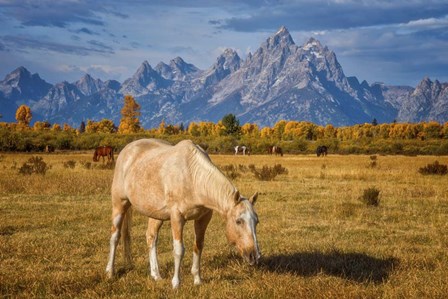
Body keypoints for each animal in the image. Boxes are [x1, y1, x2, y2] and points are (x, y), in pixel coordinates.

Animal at [105, 139, 260, 290]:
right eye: (238, 221)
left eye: (256, 222)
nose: (254, 255)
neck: (193, 176)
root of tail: (127, 149)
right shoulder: (177, 218)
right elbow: (179, 250)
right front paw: (176, 283)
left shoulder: (203, 219)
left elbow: (198, 246)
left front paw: (197, 280)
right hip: (119, 204)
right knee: (115, 236)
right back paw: (110, 272)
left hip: (155, 214)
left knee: (151, 237)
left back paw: (156, 275)